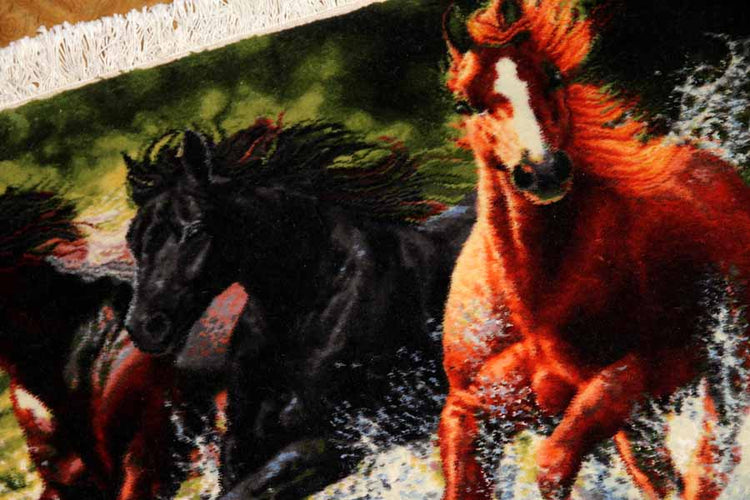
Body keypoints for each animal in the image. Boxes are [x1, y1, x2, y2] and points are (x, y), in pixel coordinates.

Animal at [438, 1, 750, 499]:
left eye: (553, 77)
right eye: (463, 103)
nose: (543, 171)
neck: (531, 302)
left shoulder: (628, 377)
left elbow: (551, 466)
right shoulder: (470, 408)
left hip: (725, 368)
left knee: (708, 465)